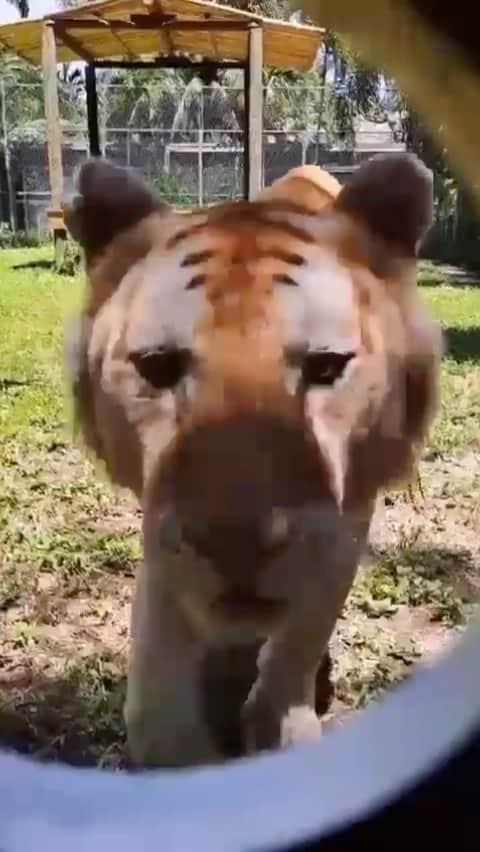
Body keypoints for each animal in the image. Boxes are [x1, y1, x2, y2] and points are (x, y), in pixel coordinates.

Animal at [64, 153, 442, 768]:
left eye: (326, 366)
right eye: (158, 366)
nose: (234, 544)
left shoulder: (345, 521)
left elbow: (302, 634)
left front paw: (282, 726)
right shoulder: (162, 540)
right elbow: (159, 707)